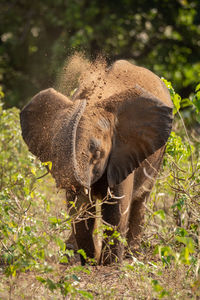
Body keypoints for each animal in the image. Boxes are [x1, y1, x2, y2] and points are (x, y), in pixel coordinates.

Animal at [20, 58, 173, 264]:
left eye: (98, 153)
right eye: (55, 152)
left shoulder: (123, 153)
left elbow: (116, 209)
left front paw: (109, 264)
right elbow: (81, 209)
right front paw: (89, 262)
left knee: (141, 200)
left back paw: (132, 256)